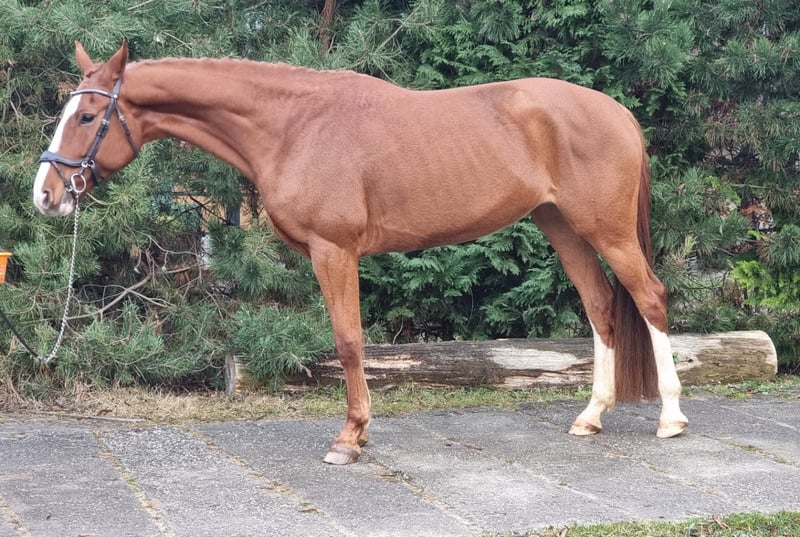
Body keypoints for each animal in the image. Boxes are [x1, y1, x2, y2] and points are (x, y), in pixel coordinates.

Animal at [34, 41, 688, 465]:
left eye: (88, 115)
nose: (45, 194)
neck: (293, 125)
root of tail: (618, 112)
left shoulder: (335, 251)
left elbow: (349, 341)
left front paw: (350, 439)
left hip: (604, 229)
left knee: (649, 299)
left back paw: (671, 419)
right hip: (563, 227)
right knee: (602, 307)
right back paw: (591, 416)